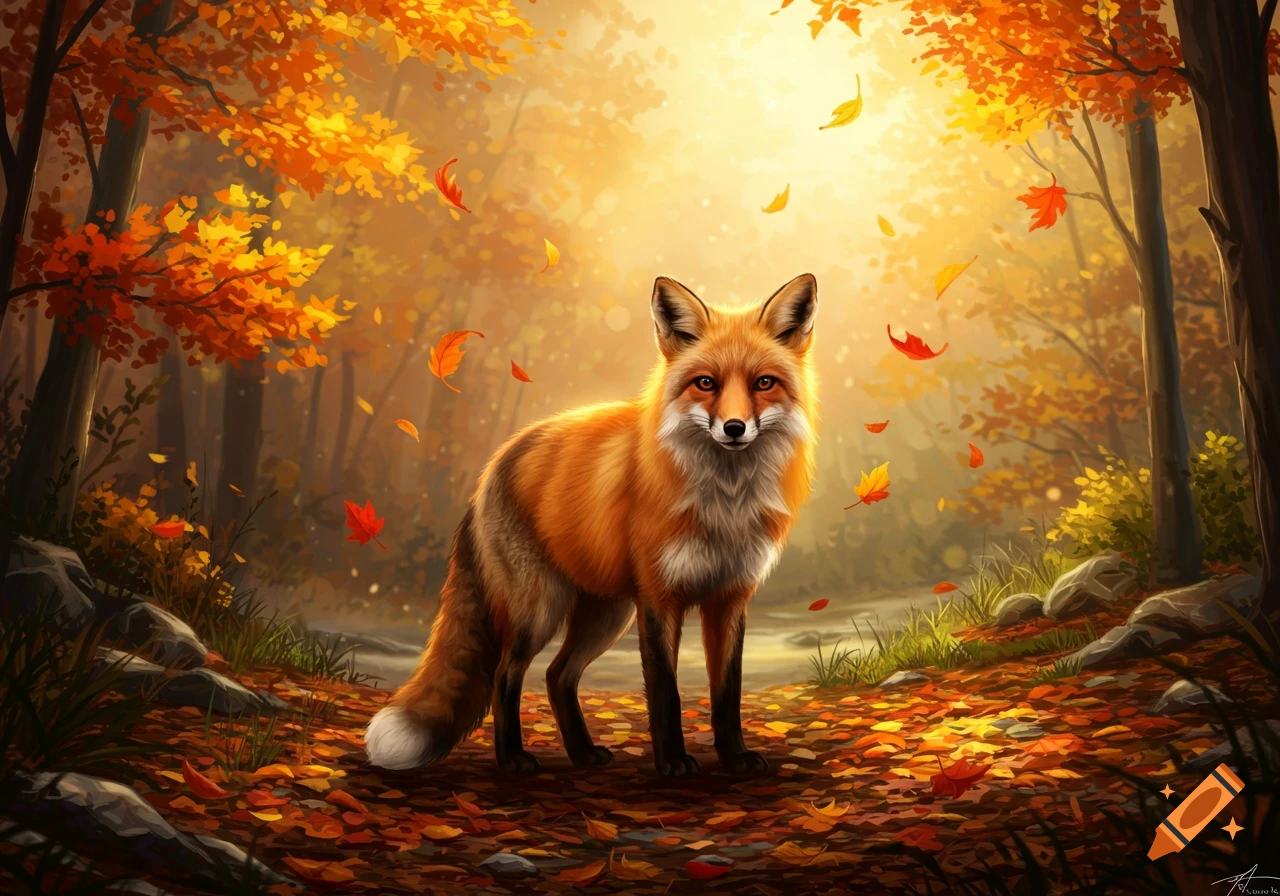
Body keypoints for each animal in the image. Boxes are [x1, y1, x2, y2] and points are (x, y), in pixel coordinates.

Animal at [364, 273, 819, 777]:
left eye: (764, 383)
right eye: (706, 383)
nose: (734, 428)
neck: (725, 505)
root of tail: (494, 464)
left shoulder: (729, 598)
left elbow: (726, 692)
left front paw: (734, 757)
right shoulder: (659, 599)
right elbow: (666, 692)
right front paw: (672, 763)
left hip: (606, 613)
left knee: (557, 675)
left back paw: (581, 752)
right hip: (541, 609)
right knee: (507, 673)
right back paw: (512, 757)